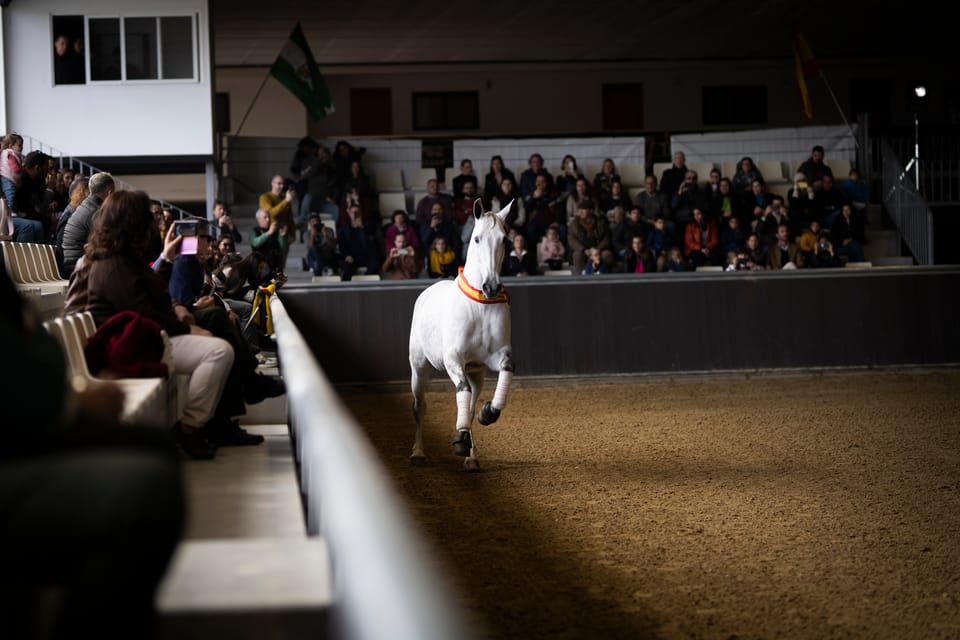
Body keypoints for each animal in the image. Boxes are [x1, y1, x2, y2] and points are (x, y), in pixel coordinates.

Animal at [408, 198, 517, 471]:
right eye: (477, 238)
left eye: (504, 239)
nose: (491, 286)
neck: (480, 305)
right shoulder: (453, 359)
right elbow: (461, 389)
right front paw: (459, 440)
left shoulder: (497, 356)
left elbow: (504, 373)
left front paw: (488, 413)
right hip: (419, 368)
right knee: (420, 406)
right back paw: (418, 453)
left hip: (476, 372)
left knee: (471, 401)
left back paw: (472, 458)